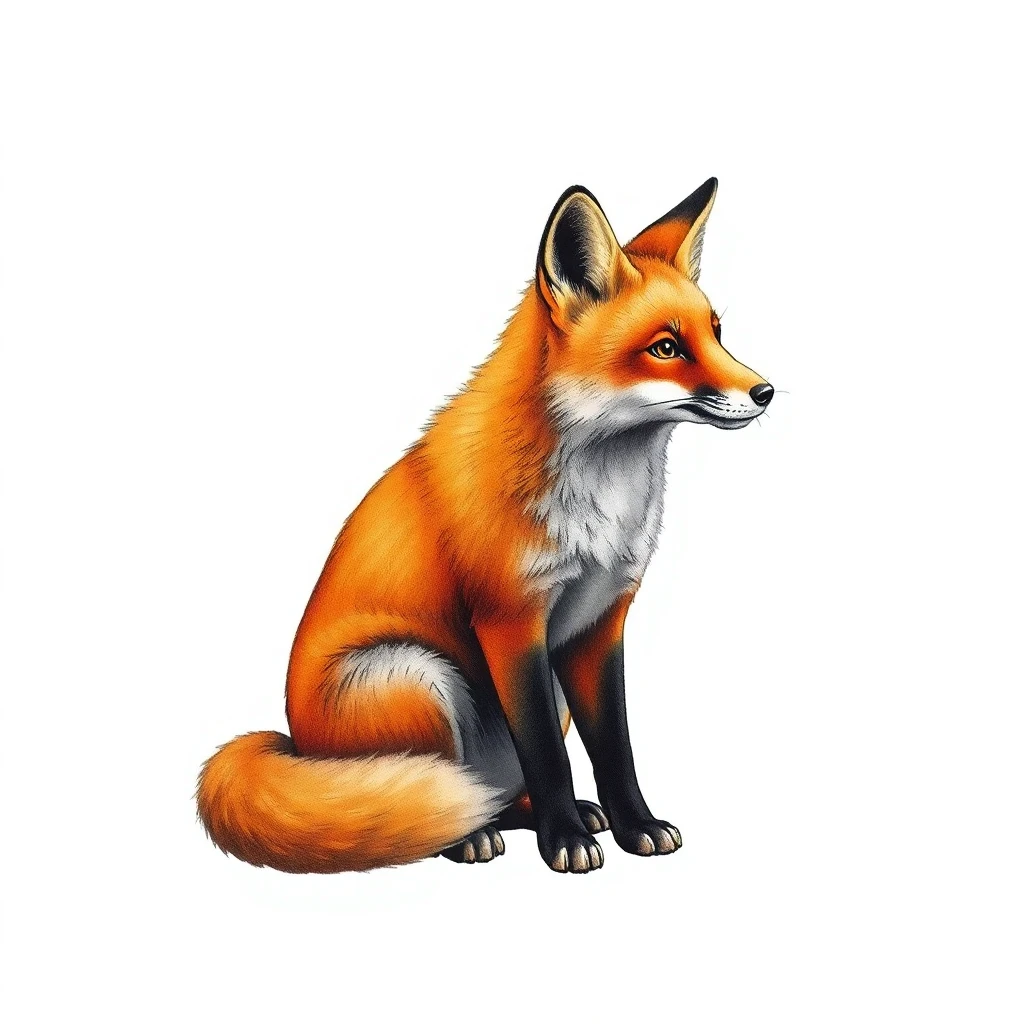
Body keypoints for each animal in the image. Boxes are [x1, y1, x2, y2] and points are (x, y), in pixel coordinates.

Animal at [197, 177, 773, 874]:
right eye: (666, 347)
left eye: (718, 334)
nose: (767, 392)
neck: (603, 502)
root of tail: (294, 746)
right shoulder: (510, 621)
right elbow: (549, 757)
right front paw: (565, 843)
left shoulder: (598, 623)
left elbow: (615, 747)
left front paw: (634, 824)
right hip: (417, 675)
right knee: (445, 800)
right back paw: (472, 835)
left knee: (495, 792)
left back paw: (544, 815)